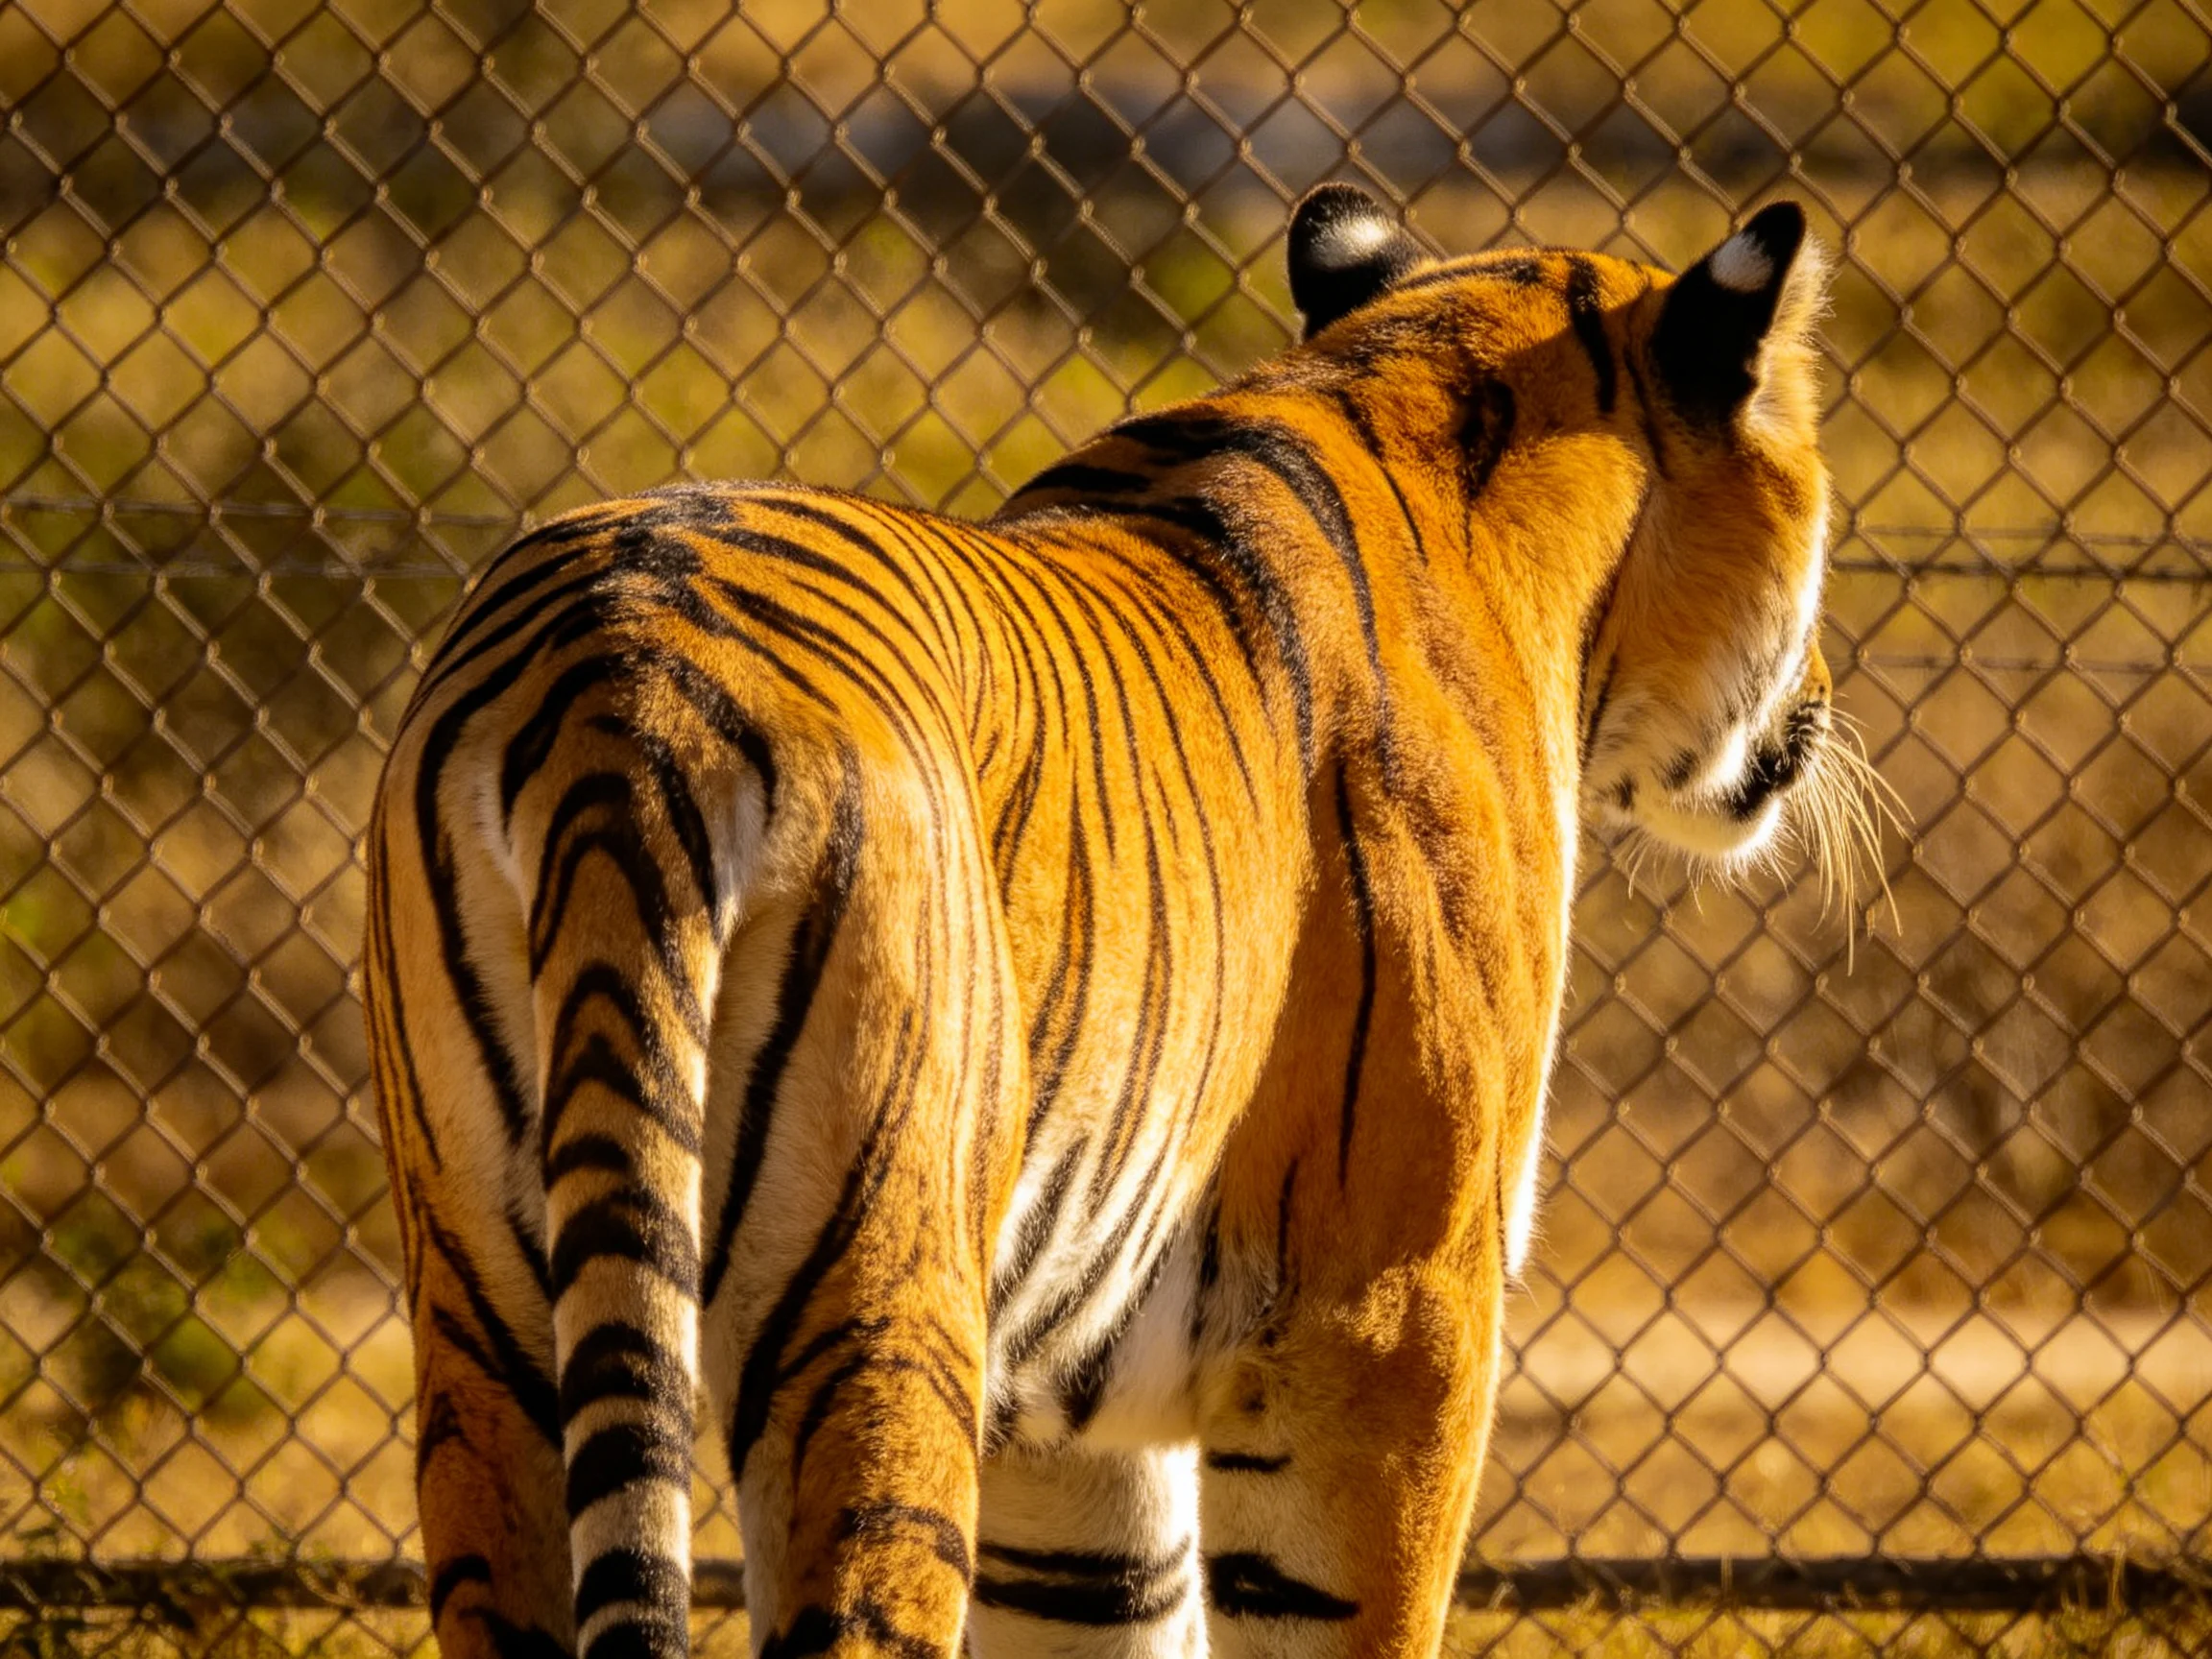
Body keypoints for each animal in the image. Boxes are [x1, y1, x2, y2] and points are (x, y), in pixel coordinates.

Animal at [362, 183, 1863, 1659]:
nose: (1823, 704)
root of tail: (626, 670)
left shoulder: (1073, 1441)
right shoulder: (1394, 1312)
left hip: (486, 1310)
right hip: (875, 1299)